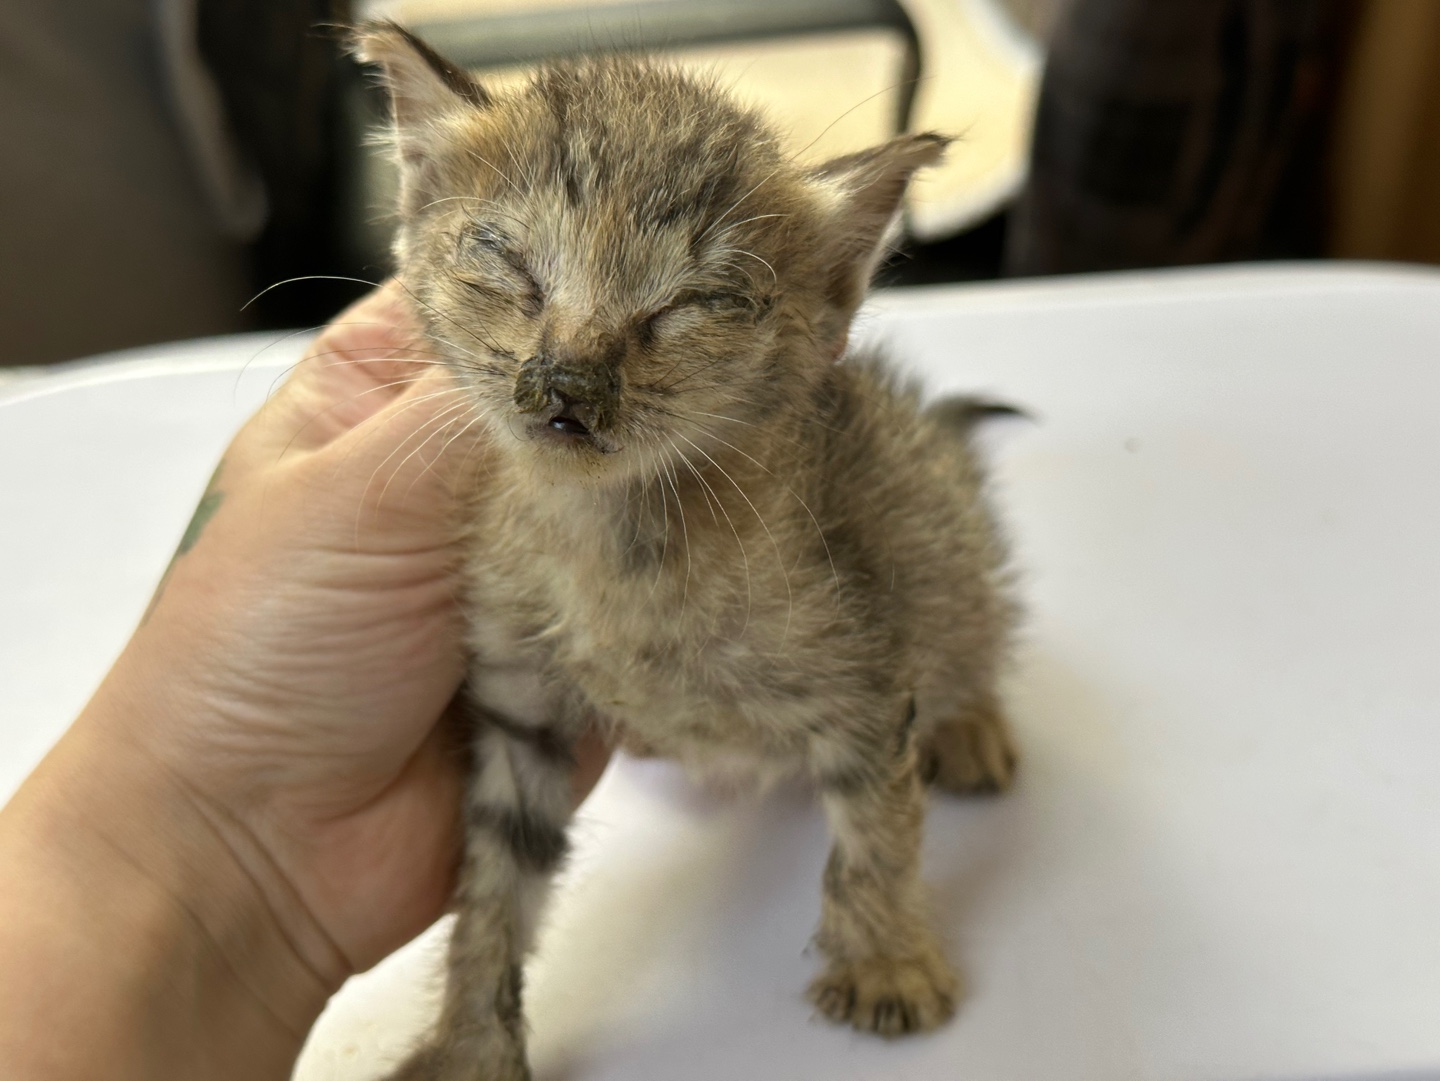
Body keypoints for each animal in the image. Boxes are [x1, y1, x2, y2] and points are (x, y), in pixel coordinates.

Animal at [354, 25, 1019, 1081]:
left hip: (942, 537)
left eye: (694, 302)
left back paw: (972, 723)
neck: (615, 541)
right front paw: (469, 1042)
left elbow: (875, 830)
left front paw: (886, 960)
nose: (567, 381)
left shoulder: (867, 672)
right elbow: (495, 878)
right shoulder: (520, 700)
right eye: (508, 260)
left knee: (972, 613)